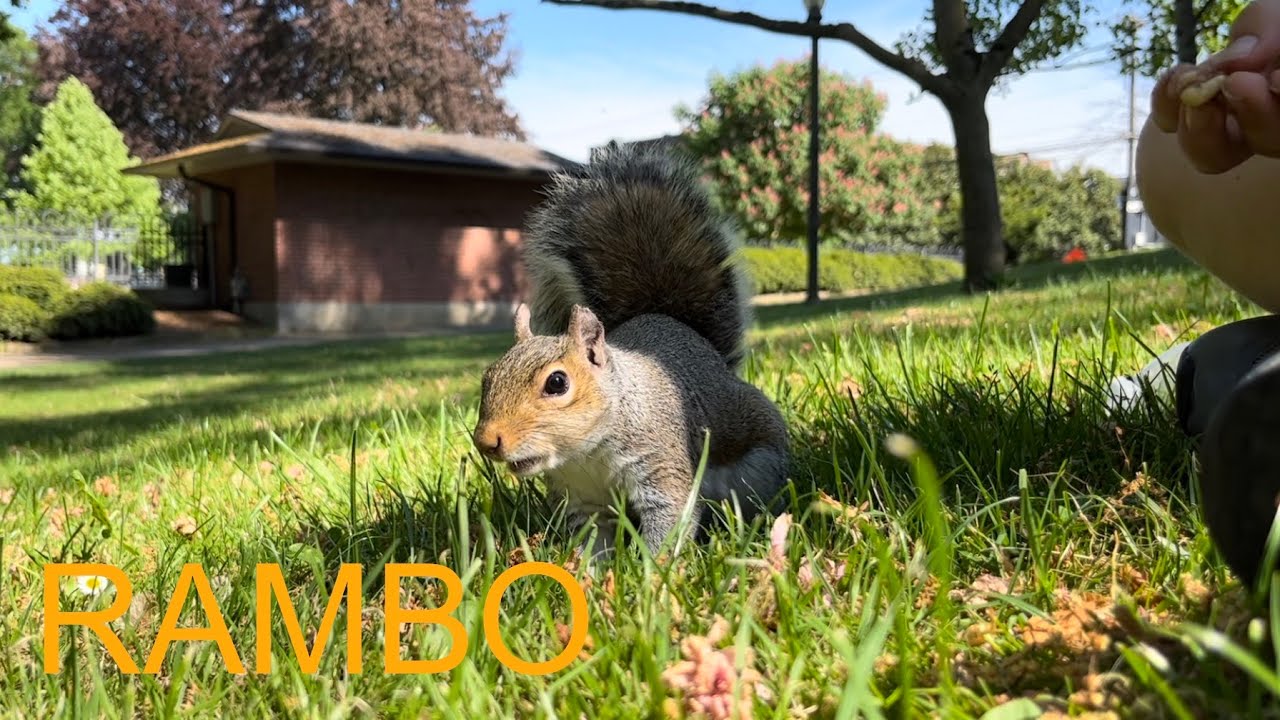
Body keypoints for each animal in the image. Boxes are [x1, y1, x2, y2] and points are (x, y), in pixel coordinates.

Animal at [471, 145, 791, 558]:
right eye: (487, 377)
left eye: (557, 383)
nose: (487, 441)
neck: (587, 455)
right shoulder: (581, 498)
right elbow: (592, 541)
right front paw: (590, 572)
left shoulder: (660, 463)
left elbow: (670, 518)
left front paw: (650, 570)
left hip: (757, 462)